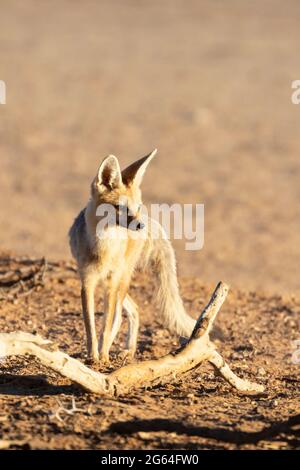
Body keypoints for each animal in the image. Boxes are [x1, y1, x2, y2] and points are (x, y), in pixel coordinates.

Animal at [69, 151, 196, 364]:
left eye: (138, 207)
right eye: (120, 207)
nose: (140, 225)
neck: (104, 249)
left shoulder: (112, 283)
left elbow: (106, 324)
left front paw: (103, 356)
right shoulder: (87, 281)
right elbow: (90, 326)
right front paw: (92, 356)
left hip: (122, 279)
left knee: (120, 315)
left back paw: (124, 350)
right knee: (133, 309)